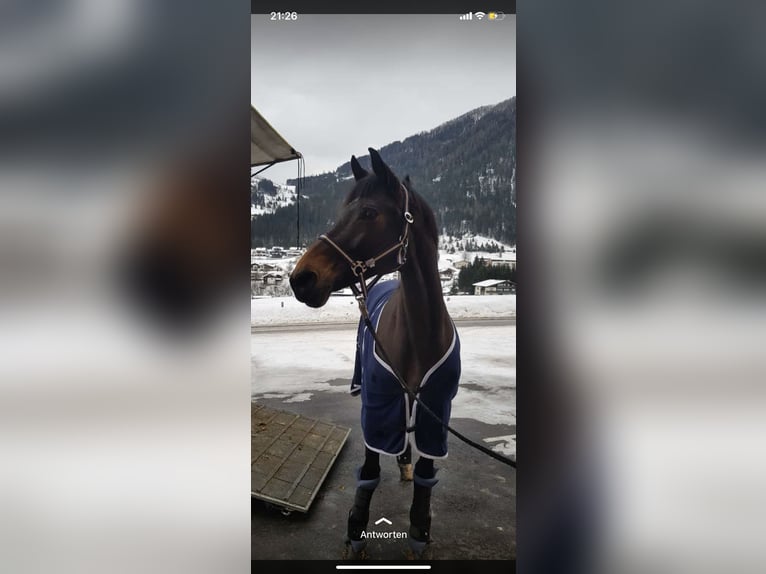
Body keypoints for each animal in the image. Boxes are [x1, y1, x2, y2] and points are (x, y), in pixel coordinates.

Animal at [290, 148, 461, 558]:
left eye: (368, 212)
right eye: (343, 210)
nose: (301, 279)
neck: (420, 333)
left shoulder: (436, 411)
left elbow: (427, 478)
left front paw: (419, 532)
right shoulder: (379, 405)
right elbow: (368, 472)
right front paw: (355, 532)